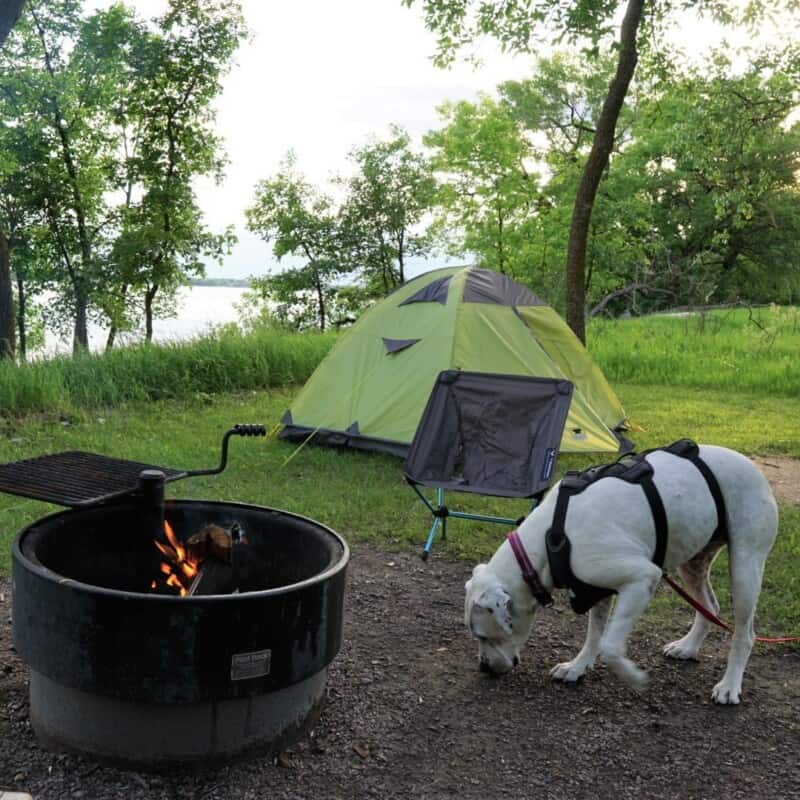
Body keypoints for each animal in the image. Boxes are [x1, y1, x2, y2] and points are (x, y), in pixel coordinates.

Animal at [466, 446, 780, 704]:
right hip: (693, 563)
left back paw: (729, 686)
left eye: (482, 635)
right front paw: (577, 667)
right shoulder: (594, 589)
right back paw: (688, 647)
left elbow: (610, 647)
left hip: (745, 568)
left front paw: (634, 677)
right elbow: (594, 635)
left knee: (745, 633)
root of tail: (754, 467)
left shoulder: (642, 580)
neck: (550, 537)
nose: (483, 667)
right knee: (709, 608)